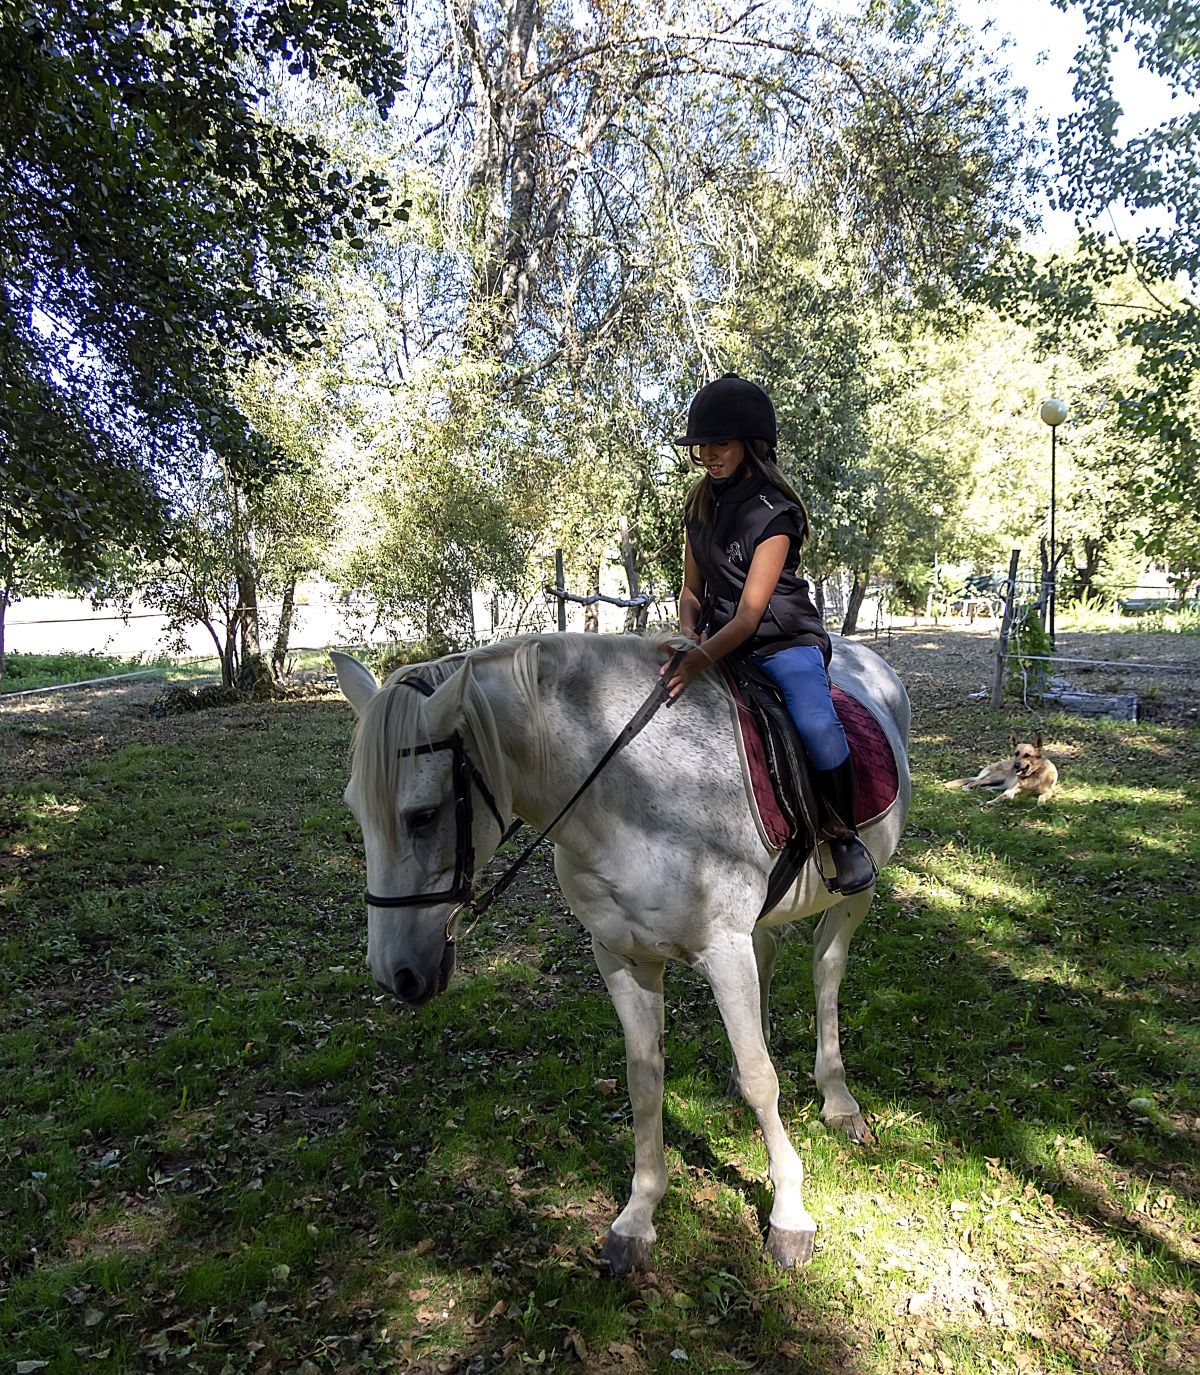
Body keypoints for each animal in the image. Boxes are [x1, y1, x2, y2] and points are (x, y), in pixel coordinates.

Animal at [329, 629, 907, 1270]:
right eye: (356, 809)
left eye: (424, 815)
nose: (395, 975)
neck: (635, 794)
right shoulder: (623, 957)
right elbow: (645, 1081)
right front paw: (638, 1217)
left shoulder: (722, 950)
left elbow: (765, 1080)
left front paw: (789, 1215)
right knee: (771, 952)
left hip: (857, 892)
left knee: (826, 971)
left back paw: (838, 1100)